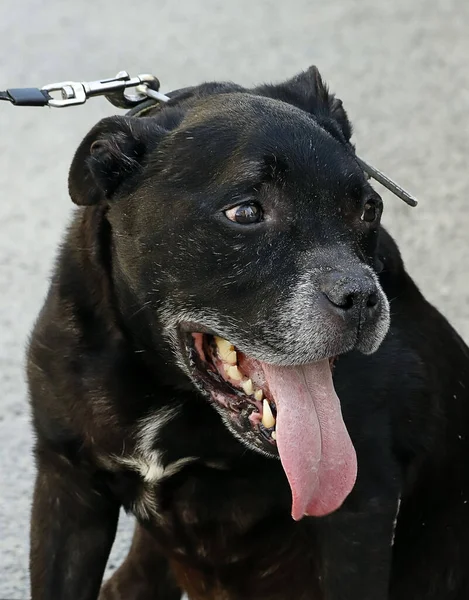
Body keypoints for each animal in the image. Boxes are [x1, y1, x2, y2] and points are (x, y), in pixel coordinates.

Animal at [26, 67, 469, 600]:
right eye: (245, 213)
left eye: (369, 209)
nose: (362, 297)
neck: (164, 386)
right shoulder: (67, 484)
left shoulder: (358, 508)